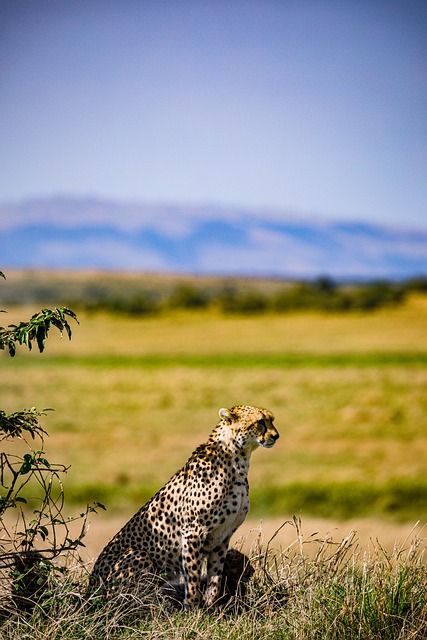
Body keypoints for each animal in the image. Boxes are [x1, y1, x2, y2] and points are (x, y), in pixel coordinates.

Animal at [90, 404, 280, 608]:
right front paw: (193, 608)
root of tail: (90, 584)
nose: (276, 436)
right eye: (260, 422)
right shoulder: (193, 531)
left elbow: (215, 576)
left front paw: (211, 607)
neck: (237, 460)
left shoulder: (222, 535)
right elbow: (193, 575)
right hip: (140, 556)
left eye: (271, 420)